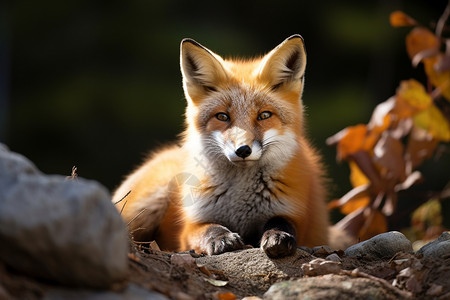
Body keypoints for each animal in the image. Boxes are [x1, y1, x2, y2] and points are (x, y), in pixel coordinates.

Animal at [112, 34, 330, 258]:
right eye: (222, 116)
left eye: (264, 115)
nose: (243, 150)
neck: (239, 199)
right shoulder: (189, 228)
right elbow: (209, 229)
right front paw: (221, 238)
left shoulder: (296, 215)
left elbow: (282, 222)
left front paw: (278, 236)